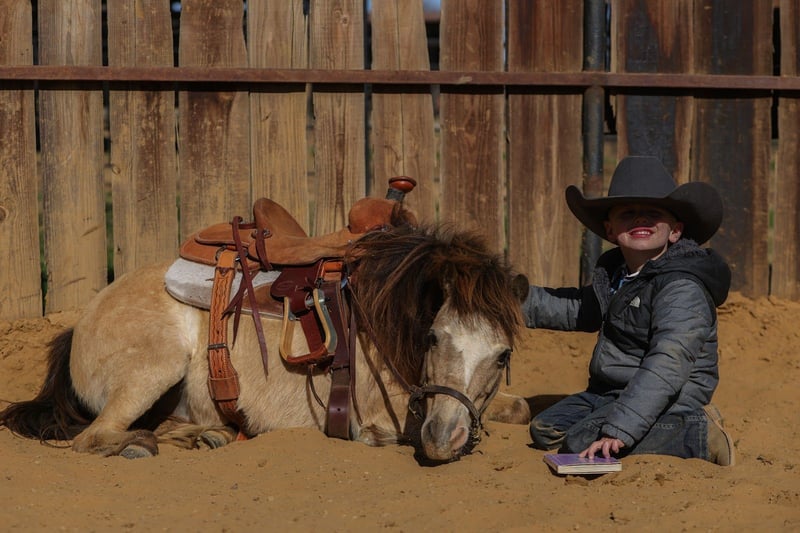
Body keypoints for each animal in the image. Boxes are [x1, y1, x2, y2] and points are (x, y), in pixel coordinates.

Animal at [0, 215, 530, 463]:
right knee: (94, 437)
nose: (442, 439)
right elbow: (385, 431)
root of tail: (81, 321)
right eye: (434, 338)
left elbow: (521, 408)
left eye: (503, 355)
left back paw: (204, 435)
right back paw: (144, 443)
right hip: (154, 368)